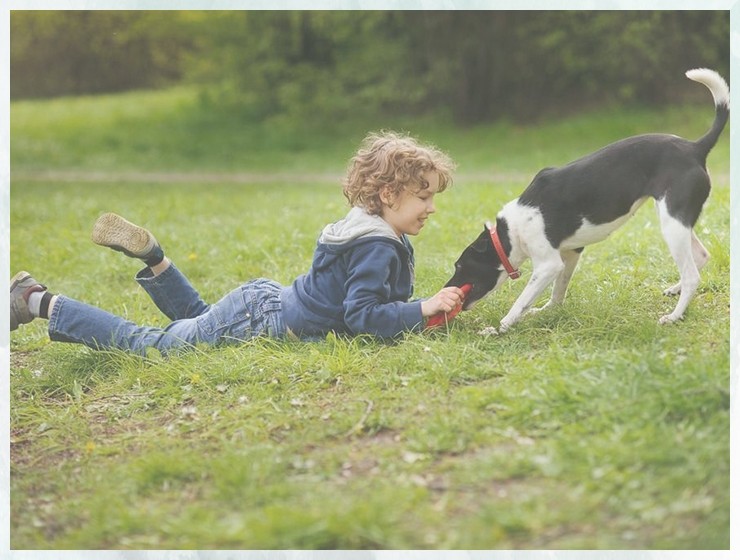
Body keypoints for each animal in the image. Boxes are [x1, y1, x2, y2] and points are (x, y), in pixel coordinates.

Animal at [446, 68, 728, 334]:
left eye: (459, 266)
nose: (446, 288)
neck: (509, 233)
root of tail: (695, 148)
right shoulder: (570, 254)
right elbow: (558, 291)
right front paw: (548, 310)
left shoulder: (547, 265)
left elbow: (521, 302)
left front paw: (500, 328)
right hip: (675, 220)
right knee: (701, 256)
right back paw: (675, 290)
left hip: (672, 223)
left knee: (692, 275)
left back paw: (674, 315)